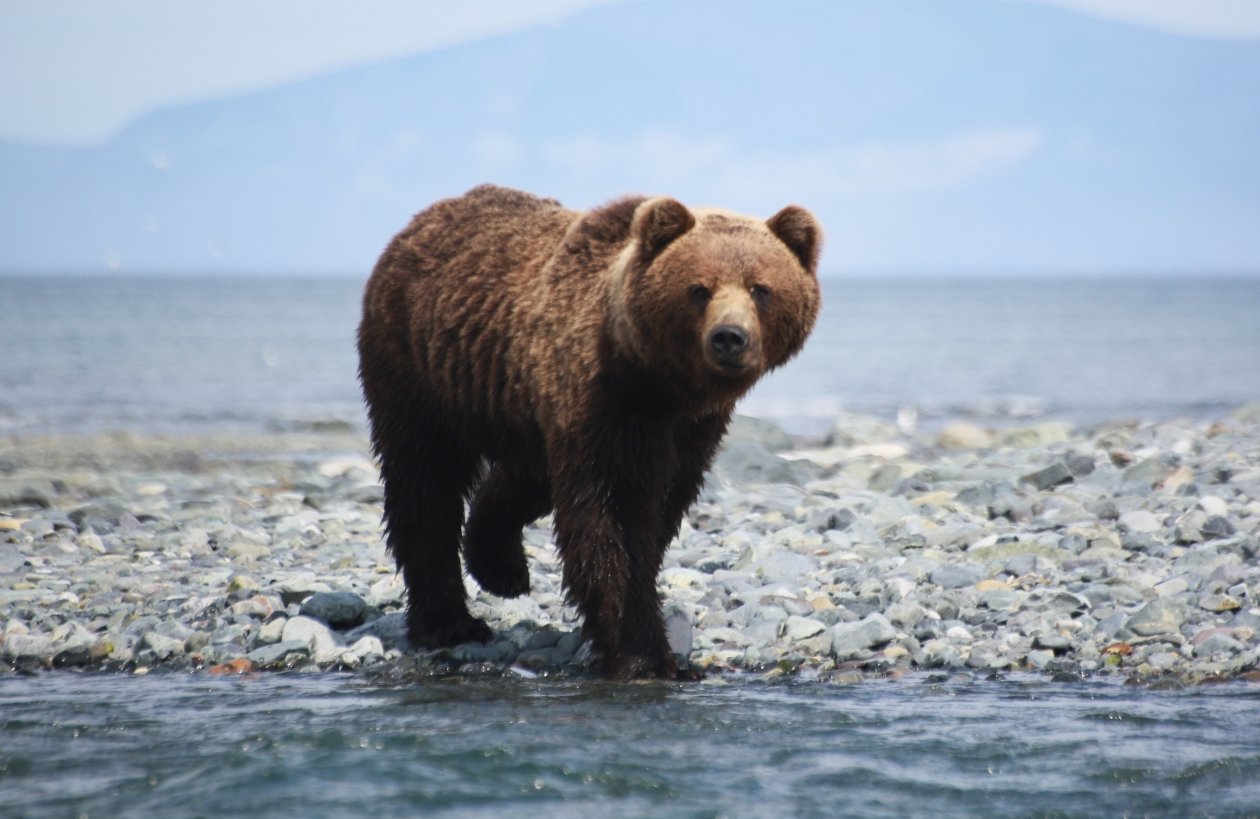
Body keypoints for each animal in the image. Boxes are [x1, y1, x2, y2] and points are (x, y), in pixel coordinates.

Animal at [357, 184, 821, 679]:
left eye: (761, 289)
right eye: (699, 289)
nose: (729, 337)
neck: (662, 385)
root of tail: (420, 221)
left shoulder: (689, 432)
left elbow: (658, 508)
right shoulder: (608, 404)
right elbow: (613, 518)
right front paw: (646, 655)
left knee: (522, 477)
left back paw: (501, 568)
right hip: (417, 368)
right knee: (425, 482)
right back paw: (448, 623)